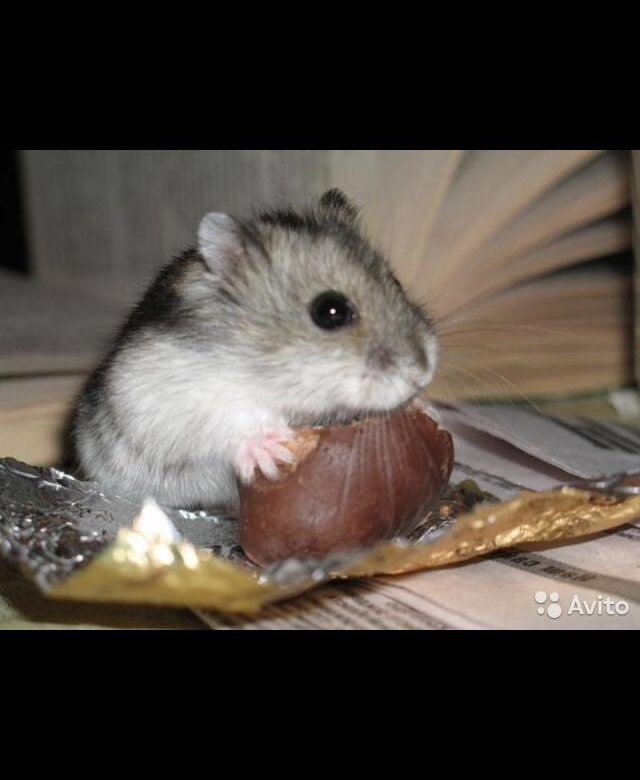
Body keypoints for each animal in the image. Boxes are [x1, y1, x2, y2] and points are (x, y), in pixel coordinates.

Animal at [72, 190, 439, 511]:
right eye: (330, 311)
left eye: (396, 282)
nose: (423, 374)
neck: (264, 368)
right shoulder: (168, 396)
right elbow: (234, 418)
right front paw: (272, 452)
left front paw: (427, 408)